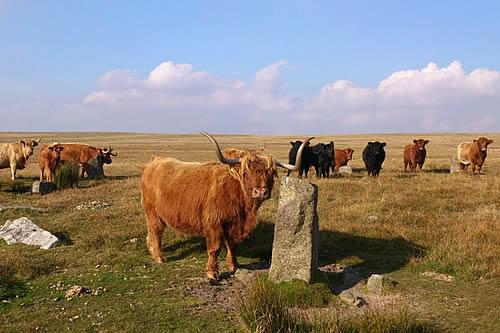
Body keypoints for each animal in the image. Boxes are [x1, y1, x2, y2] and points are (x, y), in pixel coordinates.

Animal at [141, 132, 312, 280]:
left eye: (270, 173)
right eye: (246, 173)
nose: (261, 191)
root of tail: (154, 161)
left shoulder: (235, 223)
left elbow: (233, 245)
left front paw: (234, 266)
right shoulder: (213, 222)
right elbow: (215, 248)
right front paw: (212, 273)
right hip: (152, 212)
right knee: (156, 232)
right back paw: (159, 257)